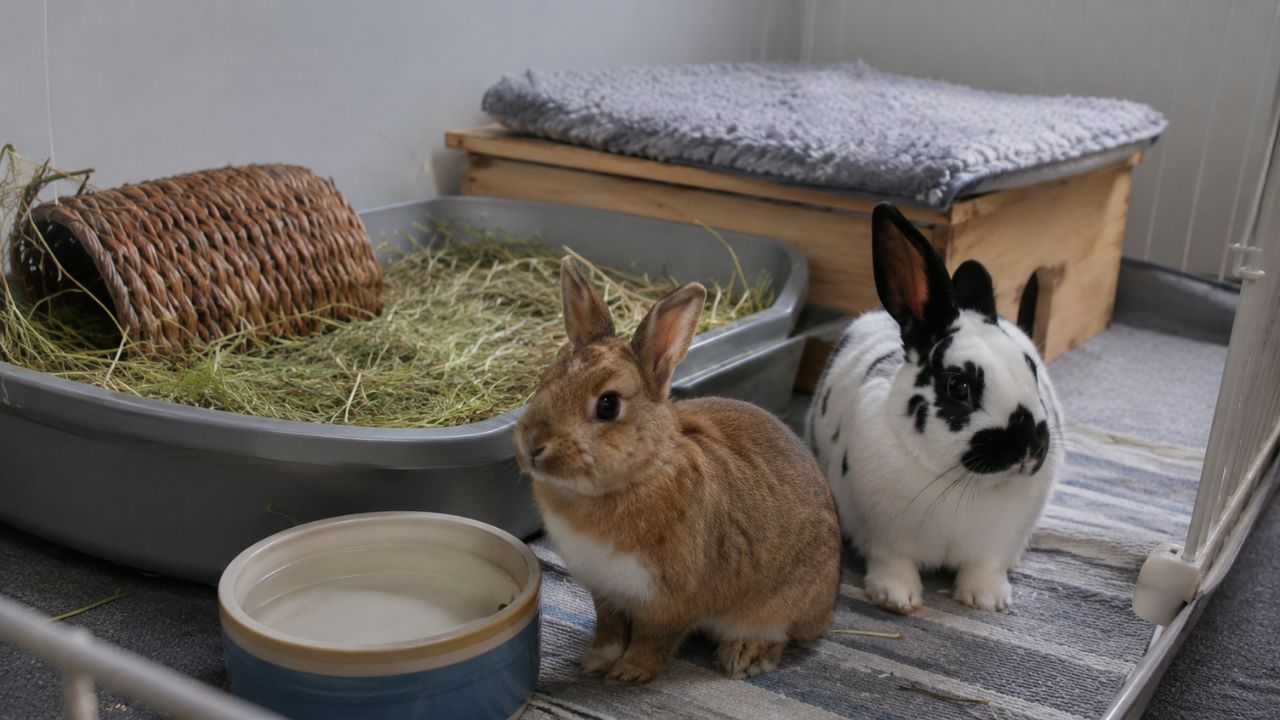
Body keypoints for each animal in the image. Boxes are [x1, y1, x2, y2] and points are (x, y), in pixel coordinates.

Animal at [514, 257, 841, 685]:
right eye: (545, 381)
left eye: (608, 405)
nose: (533, 445)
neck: (642, 472)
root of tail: (828, 605)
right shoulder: (605, 593)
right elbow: (609, 629)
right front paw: (596, 663)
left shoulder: (673, 602)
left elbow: (655, 640)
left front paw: (629, 673)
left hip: (775, 607)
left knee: (781, 635)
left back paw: (742, 656)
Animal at [806, 202, 1063, 614]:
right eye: (959, 388)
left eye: (1031, 368)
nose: (1028, 448)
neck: (959, 482)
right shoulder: (887, 539)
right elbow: (894, 564)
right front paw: (896, 598)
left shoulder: (993, 548)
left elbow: (985, 568)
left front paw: (986, 601)